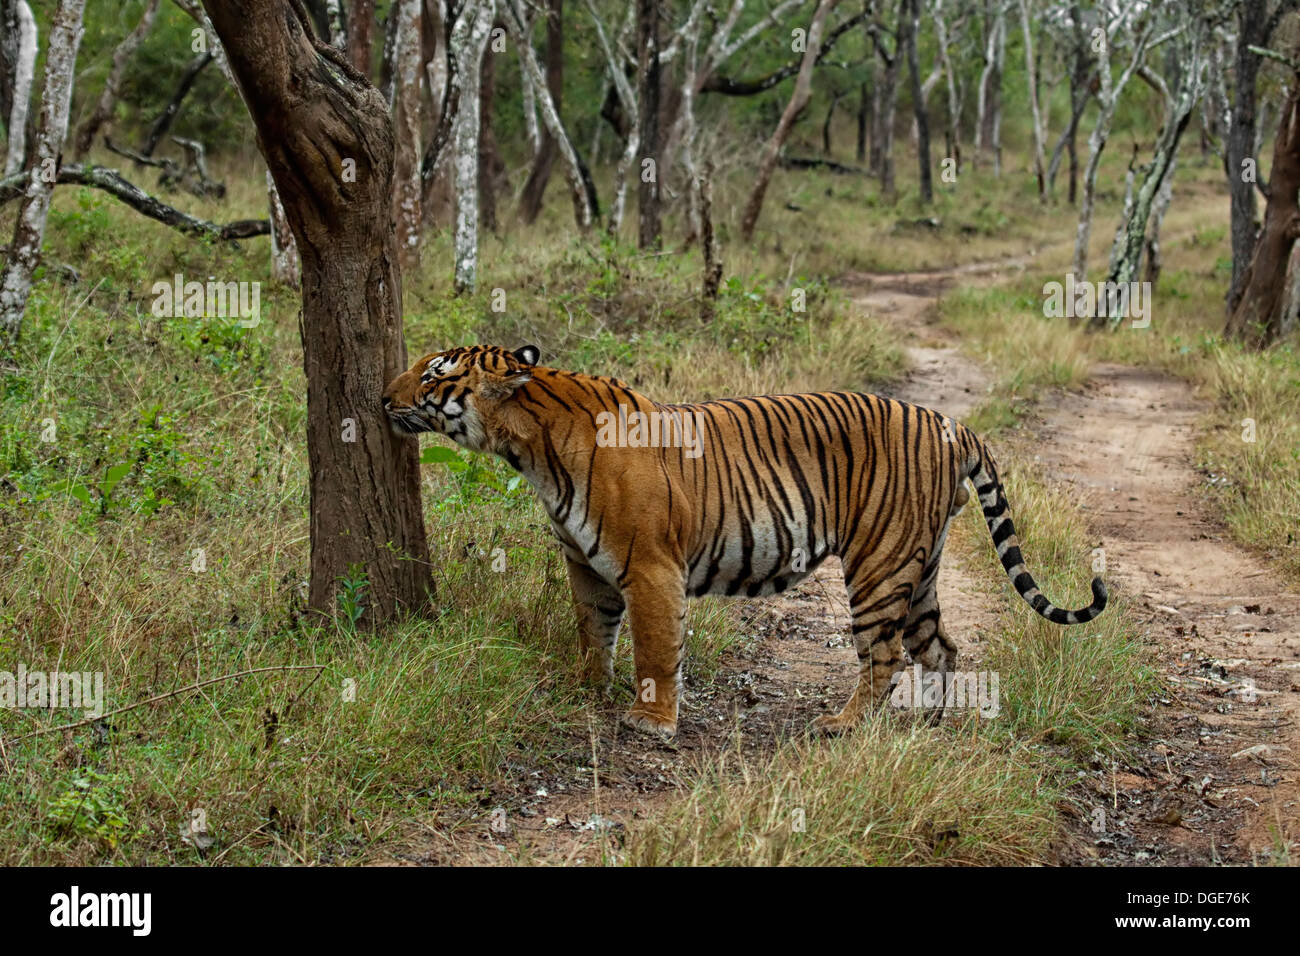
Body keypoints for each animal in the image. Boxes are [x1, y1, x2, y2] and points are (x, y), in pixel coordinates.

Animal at [379, 343, 1102, 738]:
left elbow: (654, 648)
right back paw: (927, 727)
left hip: (879, 564)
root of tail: (953, 423)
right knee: (942, 647)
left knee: (885, 655)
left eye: (433, 374)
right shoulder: (586, 566)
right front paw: (586, 687)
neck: (530, 448)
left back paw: (844, 725)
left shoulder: (650, 567)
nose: (382, 398)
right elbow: (593, 632)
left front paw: (651, 722)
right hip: (918, 567)